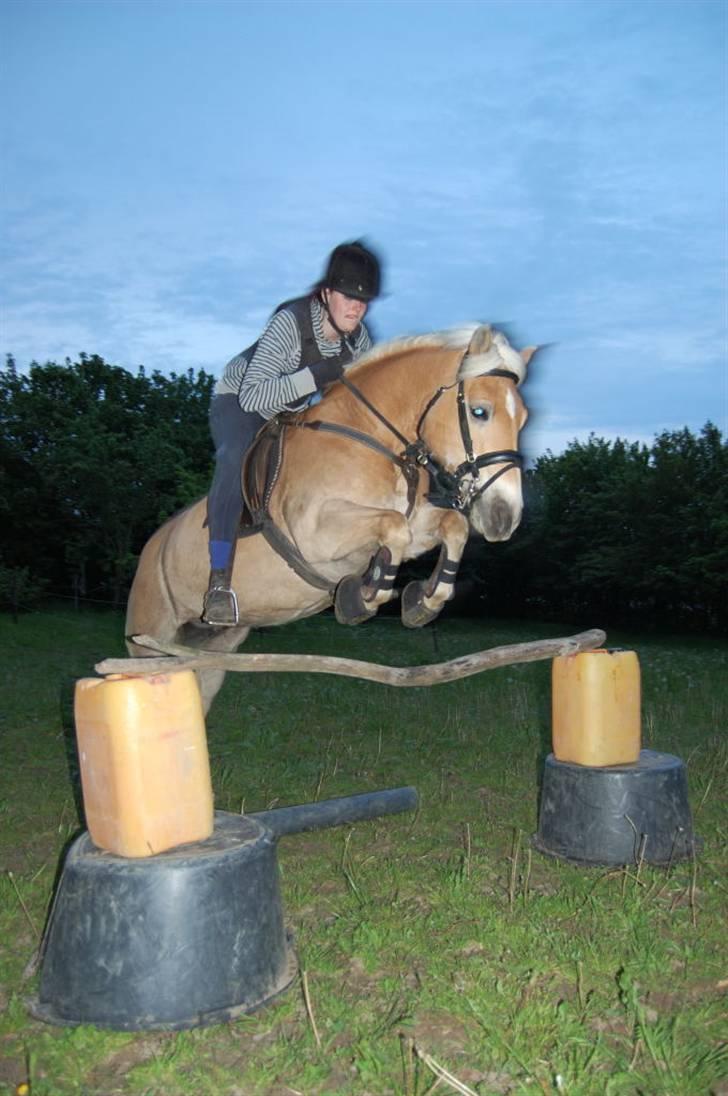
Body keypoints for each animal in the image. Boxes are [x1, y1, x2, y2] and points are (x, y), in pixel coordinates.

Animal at [125, 325, 537, 712]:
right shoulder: (316, 533)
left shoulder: (414, 523)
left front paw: (422, 601)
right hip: (151, 638)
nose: (504, 517)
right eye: (479, 411)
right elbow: (394, 527)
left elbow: (451, 526)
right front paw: (363, 597)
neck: (374, 440)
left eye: (523, 419)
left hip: (214, 646)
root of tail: (151, 547)